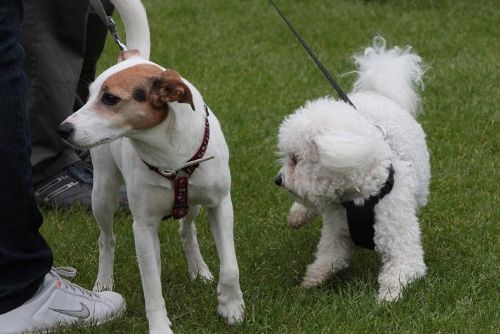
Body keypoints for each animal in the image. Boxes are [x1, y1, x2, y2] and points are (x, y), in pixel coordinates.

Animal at [58, 1, 244, 332]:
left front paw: (231, 305)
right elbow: (151, 288)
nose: (63, 129)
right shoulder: (143, 226)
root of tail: (135, 55)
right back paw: (103, 284)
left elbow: (231, 266)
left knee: (187, 230)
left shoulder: (221, 204)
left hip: (194, 203)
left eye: (110, 99)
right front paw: (159, 325)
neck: (170, 153)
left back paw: (198, 269)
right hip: (102, 194)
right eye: (89, 95)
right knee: (106, 240)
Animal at [274, 37, 430, 302]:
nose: (278, 179)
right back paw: (297, 215)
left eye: (295, 159)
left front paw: (386, 298)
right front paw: (309, 283)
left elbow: (400, 271)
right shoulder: (336, 234)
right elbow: (327, 260)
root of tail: (376, 93)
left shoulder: (401, 243)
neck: (360, 195)